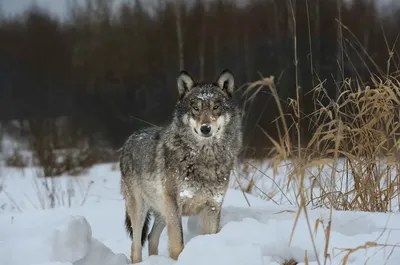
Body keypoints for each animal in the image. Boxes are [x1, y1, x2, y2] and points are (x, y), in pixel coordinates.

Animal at [119, 68, 244, 262]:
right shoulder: (174, 205)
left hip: (162, 211)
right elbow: (178, 244)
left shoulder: (213, 206)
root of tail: (130, 139)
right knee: (136, 246)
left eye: (216, 107)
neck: (204, 158)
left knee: (151, 237)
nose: (205, 128)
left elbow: (210, 239)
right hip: (141, 210)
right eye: (195, 108)